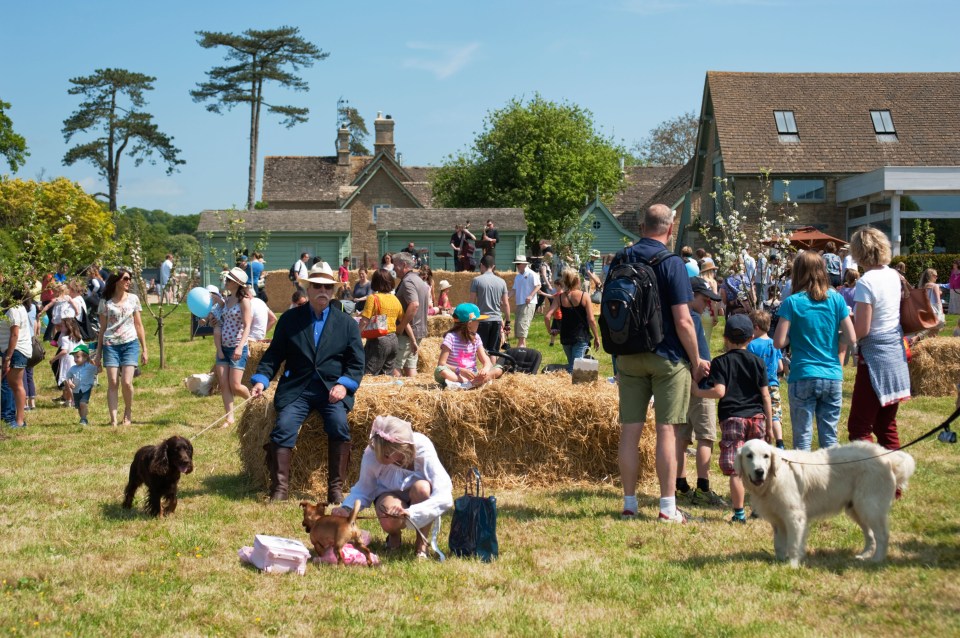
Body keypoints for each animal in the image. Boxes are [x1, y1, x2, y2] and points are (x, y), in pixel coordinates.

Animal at [736, 440, 916, 568]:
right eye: (749, 455)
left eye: (766, 456)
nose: (760, 472)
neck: (774, 477)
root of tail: (886, 456)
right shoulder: (778, 520)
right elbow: (779, 545)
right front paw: (779, 562)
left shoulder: (795, 516)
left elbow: (794, 544)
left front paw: (792, 566)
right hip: (856, 509)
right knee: (870, 535)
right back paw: (864, 556)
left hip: (869, 506)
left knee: (882, 535)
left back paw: (877, 560)